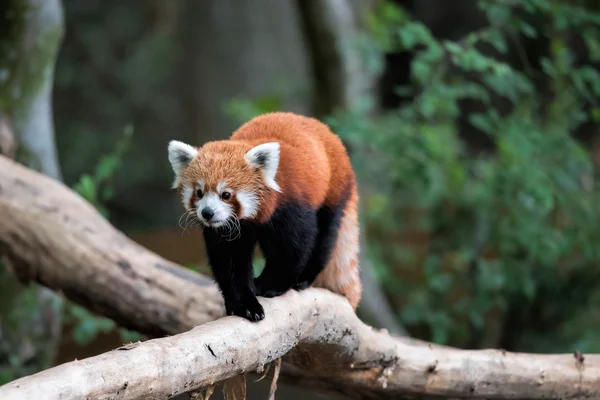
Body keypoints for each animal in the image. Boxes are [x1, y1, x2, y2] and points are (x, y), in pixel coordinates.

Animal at [168, 112, 360, 322]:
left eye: (226, 194)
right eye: (199, 192)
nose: (207, 213)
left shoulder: (290, 207)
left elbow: (292, 247)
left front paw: (270, 285)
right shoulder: (228, 229)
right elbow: (230, 262)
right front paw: (243, 304)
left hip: (333, 189)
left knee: (325, 235)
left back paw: (305, 277)